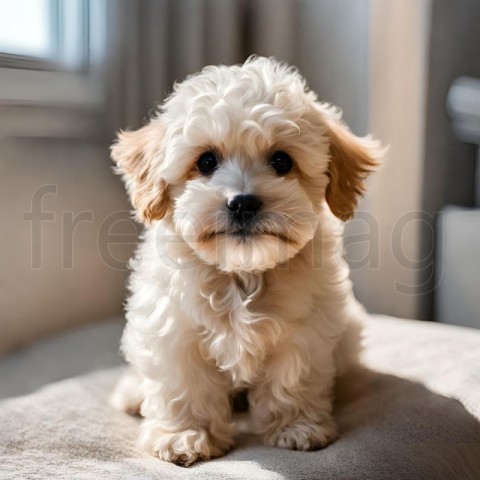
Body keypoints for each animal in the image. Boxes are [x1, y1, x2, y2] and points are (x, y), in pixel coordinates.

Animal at [110, 55, 380, 464]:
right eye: (206, 161)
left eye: (282, 161)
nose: (243, 202)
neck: (242, 272)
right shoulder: (174, 329)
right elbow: (184, 386)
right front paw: (185, 435)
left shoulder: (306, 331)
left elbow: (292, 378)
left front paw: (297, 427)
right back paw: (132, 393)